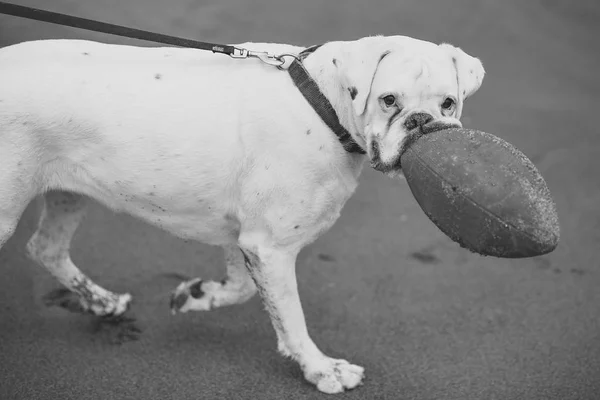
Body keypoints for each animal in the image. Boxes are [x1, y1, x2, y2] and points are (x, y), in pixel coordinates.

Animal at [0, 35, 482, 394]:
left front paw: (197, 295)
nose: (422, 122)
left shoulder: (247, 240)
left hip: (67, 192)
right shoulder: (271, 248)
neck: (321, 103)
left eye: (448, 103)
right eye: (388, 100)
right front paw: (321, 369)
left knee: (46, 248)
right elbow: (291, 318)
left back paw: (101, 301)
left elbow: (241, 289)